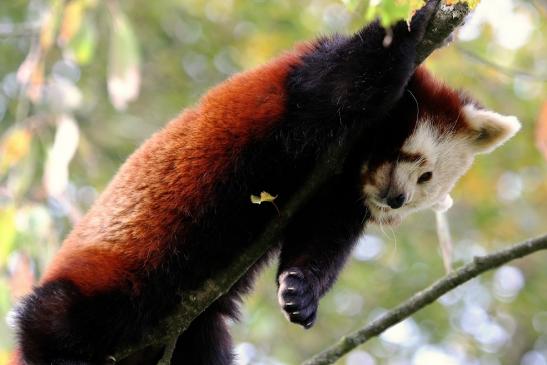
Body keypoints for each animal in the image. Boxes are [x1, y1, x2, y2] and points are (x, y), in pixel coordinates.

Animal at [10, 1, 520, 362]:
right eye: (418, 164)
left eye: (425, 184)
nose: (395, 201)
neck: (351, 165)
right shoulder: (305, 89)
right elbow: (353, 80)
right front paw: (420, 19)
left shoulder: (336, 194)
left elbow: (319, 241)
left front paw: (300, 291)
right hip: (101, 284)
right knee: (52, 319)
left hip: (192, 333)